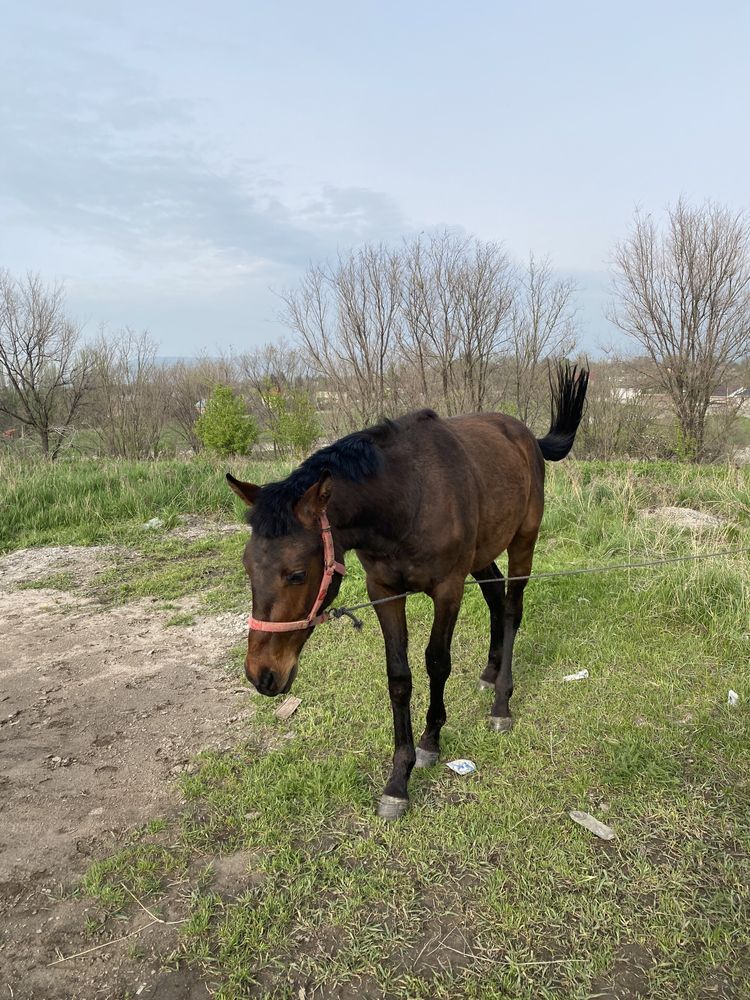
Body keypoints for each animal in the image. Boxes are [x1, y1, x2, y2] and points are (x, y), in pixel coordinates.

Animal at [226, 364, 592, 816]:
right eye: (247, 565)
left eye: (296, 573)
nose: (262, 675)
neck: (407, 498)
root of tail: (526, 436)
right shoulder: (385, 591)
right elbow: (398, 676)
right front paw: (399, 779)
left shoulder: (448, 589)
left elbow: (437, 662)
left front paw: (431, 742)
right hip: (482, 553)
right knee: (494, 596)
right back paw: (489, 673)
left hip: (523, 539)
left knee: (510, 608)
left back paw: (501, 701)